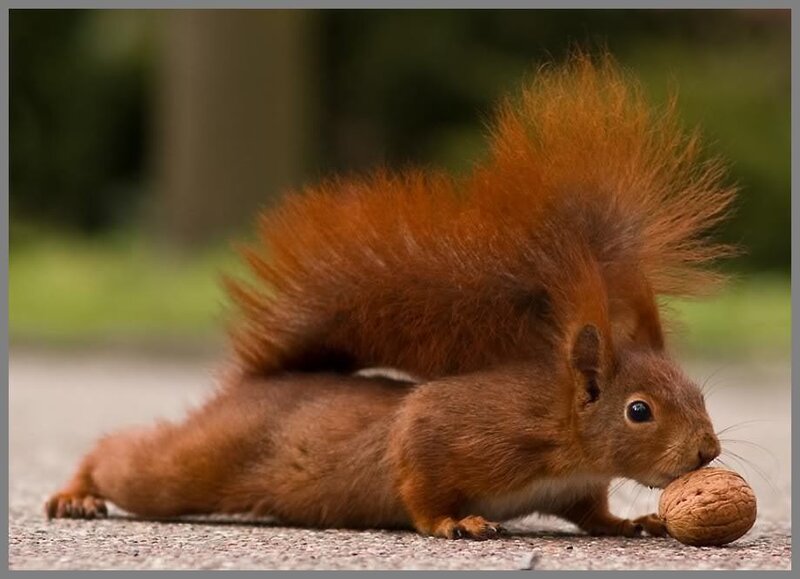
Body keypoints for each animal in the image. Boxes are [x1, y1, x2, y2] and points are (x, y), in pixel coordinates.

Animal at [45, 53, 730, 540]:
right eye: (638, 411)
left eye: (699, 394)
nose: (709, 451)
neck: (561, 431)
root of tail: (253, 386)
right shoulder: (449, 431)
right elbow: (416, 474)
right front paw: (453, 522)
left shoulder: (576, 488)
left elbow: (594, 514)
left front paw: (631, 520)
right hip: (193, 465)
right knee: (128, 459)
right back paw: (77, 492)